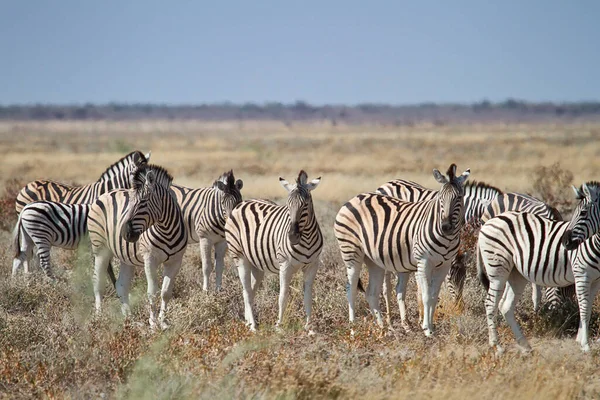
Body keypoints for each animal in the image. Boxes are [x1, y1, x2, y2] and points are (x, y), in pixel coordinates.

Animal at [87, 162, 188, 328]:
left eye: (143, 202)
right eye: (129, 203)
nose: (124, 233)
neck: (167, 230)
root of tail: (106, 193)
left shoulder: (175, 261)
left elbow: (166, 292)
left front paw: (164, 322)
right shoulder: (150, 259)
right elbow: (152, 291)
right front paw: (153, 323)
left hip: (125, 258)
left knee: (121, 285)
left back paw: (129, 318)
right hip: (100, 249)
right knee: (98, 282)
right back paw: (99, 317)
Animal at [224, 170, 324, 332]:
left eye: (305, 205)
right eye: (288, 205)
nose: (292, 236)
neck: (307, 238)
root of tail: (242, 203)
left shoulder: (312, 265)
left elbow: (308, 296)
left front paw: (309, 328)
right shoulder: (285, 265)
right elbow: (283, 296)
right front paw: (279, 325)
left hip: (257, 264)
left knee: (250, 291)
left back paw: (248, 321)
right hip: (239, 256)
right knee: (247, 291)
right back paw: (253, 326)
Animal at [336, 164, 472, 336]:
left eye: (459, 198)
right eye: (441, 198)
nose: (446, 227)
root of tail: (354, 198)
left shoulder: (444, 265)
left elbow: (434, 296)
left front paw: (431, 327)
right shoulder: (423, 262)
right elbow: (426, 295)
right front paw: (427, 329)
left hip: (373, 260)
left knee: (371, 293)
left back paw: (384, 329)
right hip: (351, 252)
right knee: (351, 289)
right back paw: (354, 329)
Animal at [476, 181, 600, 354]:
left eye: (582, 213)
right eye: (578, 213)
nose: (566, 242)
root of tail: (489, 221)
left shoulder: (595, 280)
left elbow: (587, 309)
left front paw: (579, 341)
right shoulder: (582, 275)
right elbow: (584, 308)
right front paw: (585, 345)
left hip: (515, 274)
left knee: (505, 306)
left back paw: (525, 345)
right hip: (497, 268)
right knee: (490, 303)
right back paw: (497, 346)